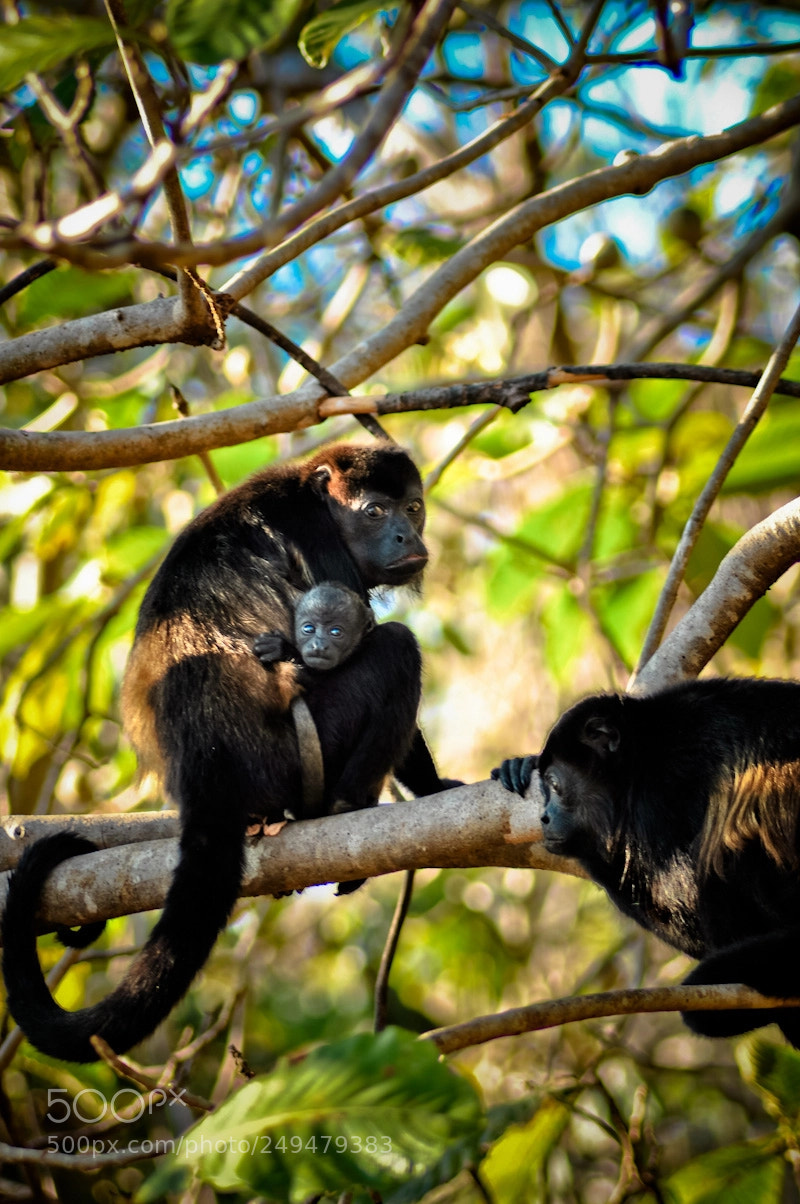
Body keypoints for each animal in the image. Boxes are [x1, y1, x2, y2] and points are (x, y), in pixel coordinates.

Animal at [2, 443, 451, 1063]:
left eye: (412, 507)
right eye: (375, 512)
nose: (408, 535)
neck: (314, 495)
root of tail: (206, 760)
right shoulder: (320, 543)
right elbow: (363, 631)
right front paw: (436, 788)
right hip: (298, 758)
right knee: (398, 647)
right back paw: (349, 804)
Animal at [493, 677, 800, 1047]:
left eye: (555, 783)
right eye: (545, 789)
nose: (544, 818)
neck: (643, 754)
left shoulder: (663, 791)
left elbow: (682, 891)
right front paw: (520, 764)